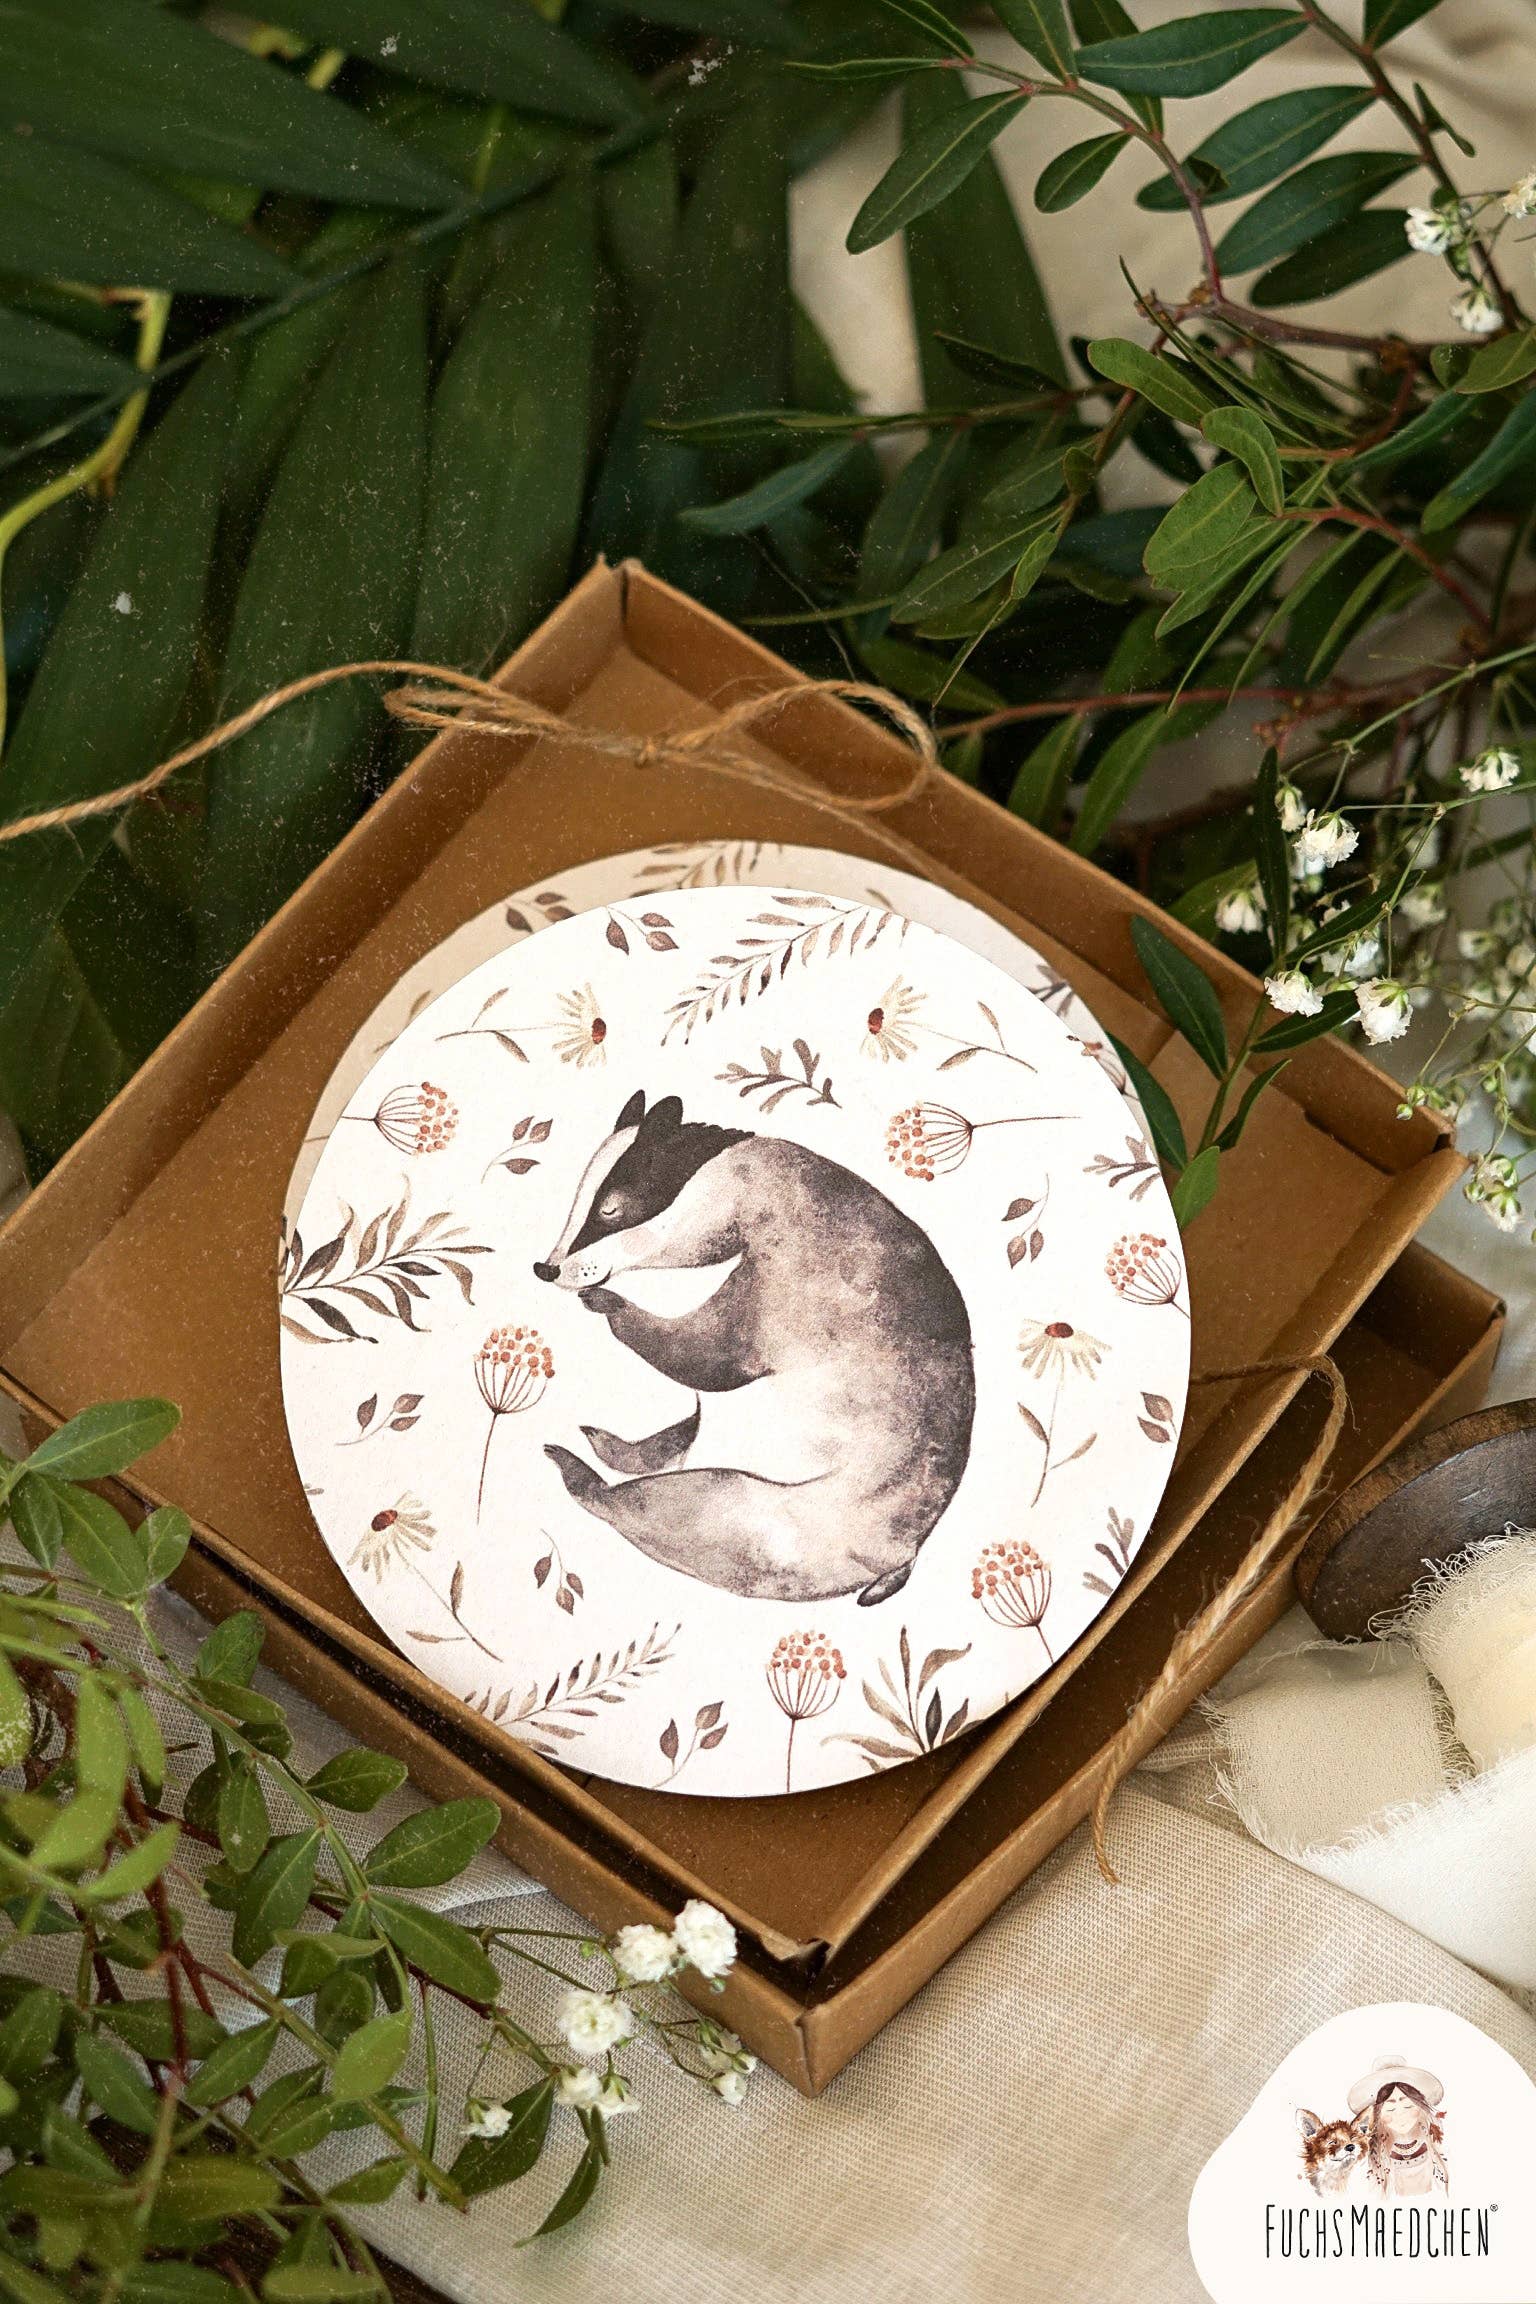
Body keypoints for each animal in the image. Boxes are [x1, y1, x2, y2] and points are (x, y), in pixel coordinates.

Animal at [533, 1091, 975, 1605]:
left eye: (611, 1209)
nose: (547, 1268)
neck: (751, 1184)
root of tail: (906, 1553)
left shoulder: (788, 1280)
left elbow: (707, 1357)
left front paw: (607, 1303)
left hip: (762, 1516)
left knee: (657, 1502)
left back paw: (580, 1472)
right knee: (678, 1440)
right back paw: (611, 1445)